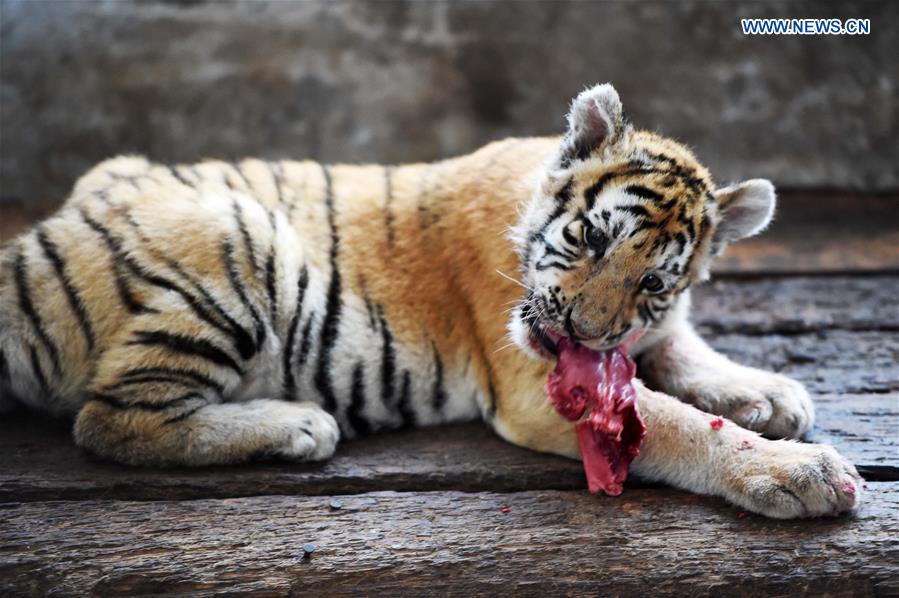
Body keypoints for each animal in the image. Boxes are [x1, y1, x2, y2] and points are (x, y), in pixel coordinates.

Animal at [0, 83, 861, 519]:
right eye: (589, 238)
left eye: (652, 281)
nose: (585, 331)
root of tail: (30, 248)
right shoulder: (541, 394)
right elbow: (679, 425)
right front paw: (800, 473)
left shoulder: (644, 331)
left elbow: (682, 347)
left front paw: (769, 392)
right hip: (235, 235)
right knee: (108, 420)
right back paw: (298, 426)